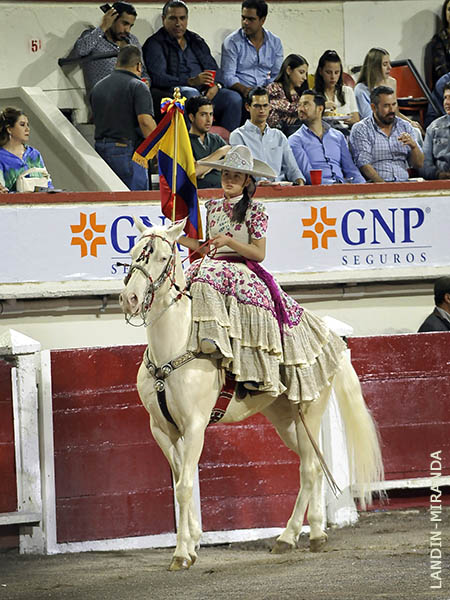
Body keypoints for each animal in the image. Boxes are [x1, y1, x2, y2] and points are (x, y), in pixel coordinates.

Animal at [118, 218, 384, 568]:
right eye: (134, 252)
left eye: (162, 257)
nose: (130, 299)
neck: (173, 347)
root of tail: (332, 338)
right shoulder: (162, 429)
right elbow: (178, 481)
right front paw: (192, 542)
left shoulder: (195, 427)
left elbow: (185, 486)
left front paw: (181, 555)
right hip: (285, 420)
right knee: (310, 463)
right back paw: (309, 534)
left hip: (310, 413)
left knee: (309, 469)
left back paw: (295, 536)